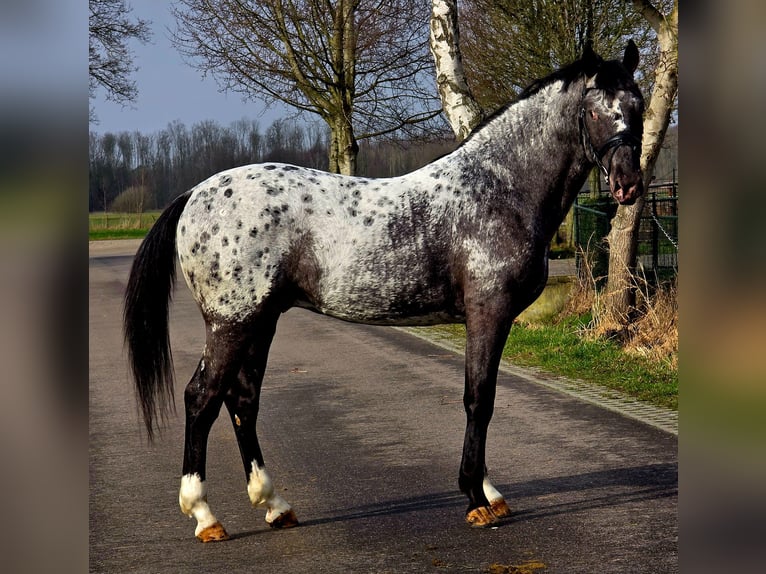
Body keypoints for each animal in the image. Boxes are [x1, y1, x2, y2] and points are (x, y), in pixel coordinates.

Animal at [124, 41, 644, 542]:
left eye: (637, 106)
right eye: (594, 111)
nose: (627, 185)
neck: (499, 189)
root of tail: (195, 194)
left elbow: (482, 398)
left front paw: (489, 492)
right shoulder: (488, 313)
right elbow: (480, 399)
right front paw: (476, 500)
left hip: (261, 321)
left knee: (242, 400)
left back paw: (275, 505)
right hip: (232, 323)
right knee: (202, 398)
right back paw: (205, 516)